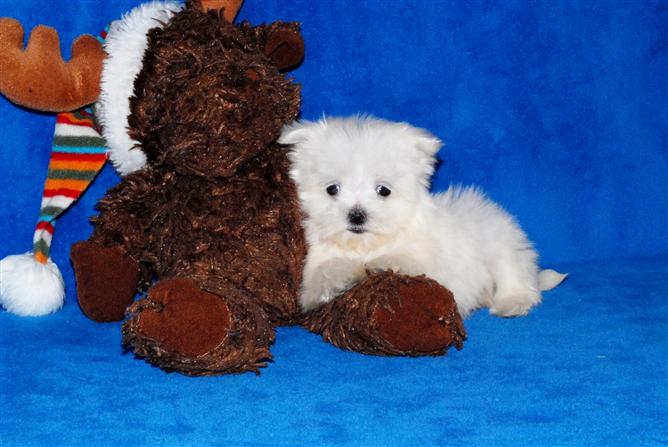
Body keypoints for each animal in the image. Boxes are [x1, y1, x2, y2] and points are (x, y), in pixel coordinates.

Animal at [276, 115, 564, 318]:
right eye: (332, 189)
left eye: (383, 190)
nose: (356, 215)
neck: (369, 244)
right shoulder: (319, 255)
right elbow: (320, 275)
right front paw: (337, 280)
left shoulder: (431, 261)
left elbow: (407, 261)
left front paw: (380, 265)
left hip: (500, 245)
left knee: (514, 274)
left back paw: (512, 302)